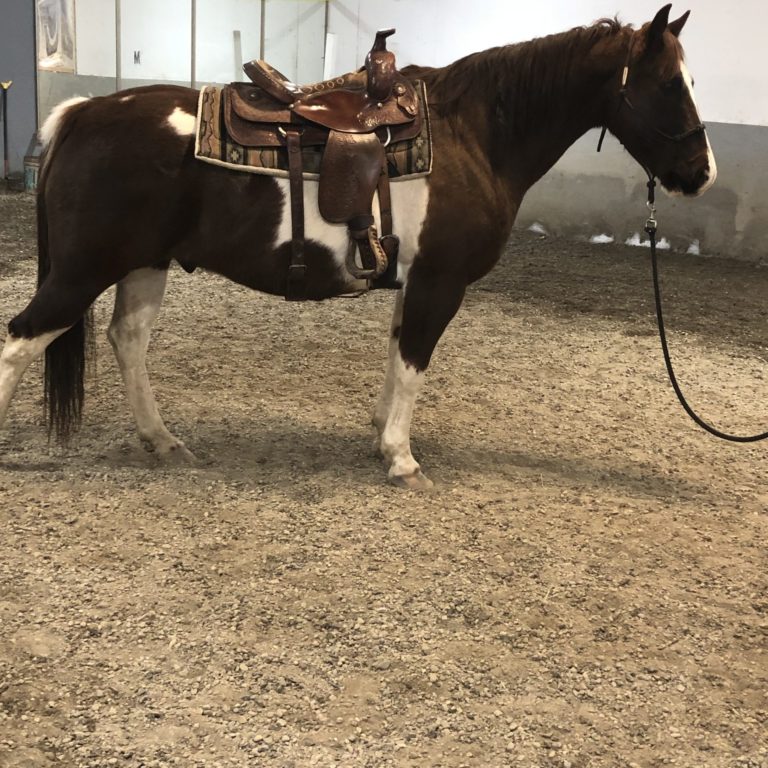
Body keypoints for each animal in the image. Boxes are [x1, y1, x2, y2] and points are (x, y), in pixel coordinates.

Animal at [0, 5, 716, 489]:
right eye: (669, 84)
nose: (701, 172)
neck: (473, 134)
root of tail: (82, 113)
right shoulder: (440, 282)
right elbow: (415, 361)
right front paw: (401, 458)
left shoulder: (416, 280)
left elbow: (400, 357)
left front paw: (380, 434)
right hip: (83, 271)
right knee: (21, 340)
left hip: (144, 265)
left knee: (127, 340)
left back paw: (163, 440)